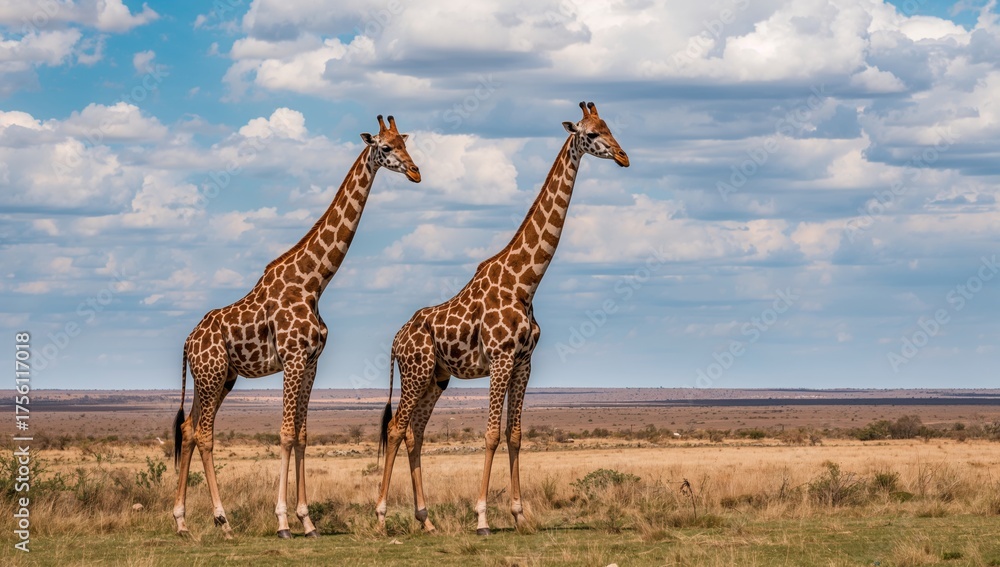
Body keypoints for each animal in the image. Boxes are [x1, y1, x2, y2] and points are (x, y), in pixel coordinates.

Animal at [172, 115, 420, 539]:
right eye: (386, 147)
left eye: (406, 143)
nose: (416, 171)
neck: (314, 282)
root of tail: (188, 342)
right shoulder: (291, 358)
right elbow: (286, 433)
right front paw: (284, 521)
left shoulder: (311, 362)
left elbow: (303, 434)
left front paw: (308, 521)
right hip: (212, 374)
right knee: (204, 433)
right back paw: (222, 520)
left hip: (220, 379)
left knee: (189, 428)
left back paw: (182, 521)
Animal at [376, 102, 629, 535]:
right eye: (592, 134)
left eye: (610, 126)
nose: (624, 156)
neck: (525, 282)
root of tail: (395, 339)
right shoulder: (500, 358)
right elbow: (492, 433)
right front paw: (482, 517)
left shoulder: (524, 362)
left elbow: (515, 435)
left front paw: (520, 514)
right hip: (415, 371)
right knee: (396, 429)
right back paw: (379, 515)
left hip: (435, 377)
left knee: (415, 433)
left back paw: (425, 519)